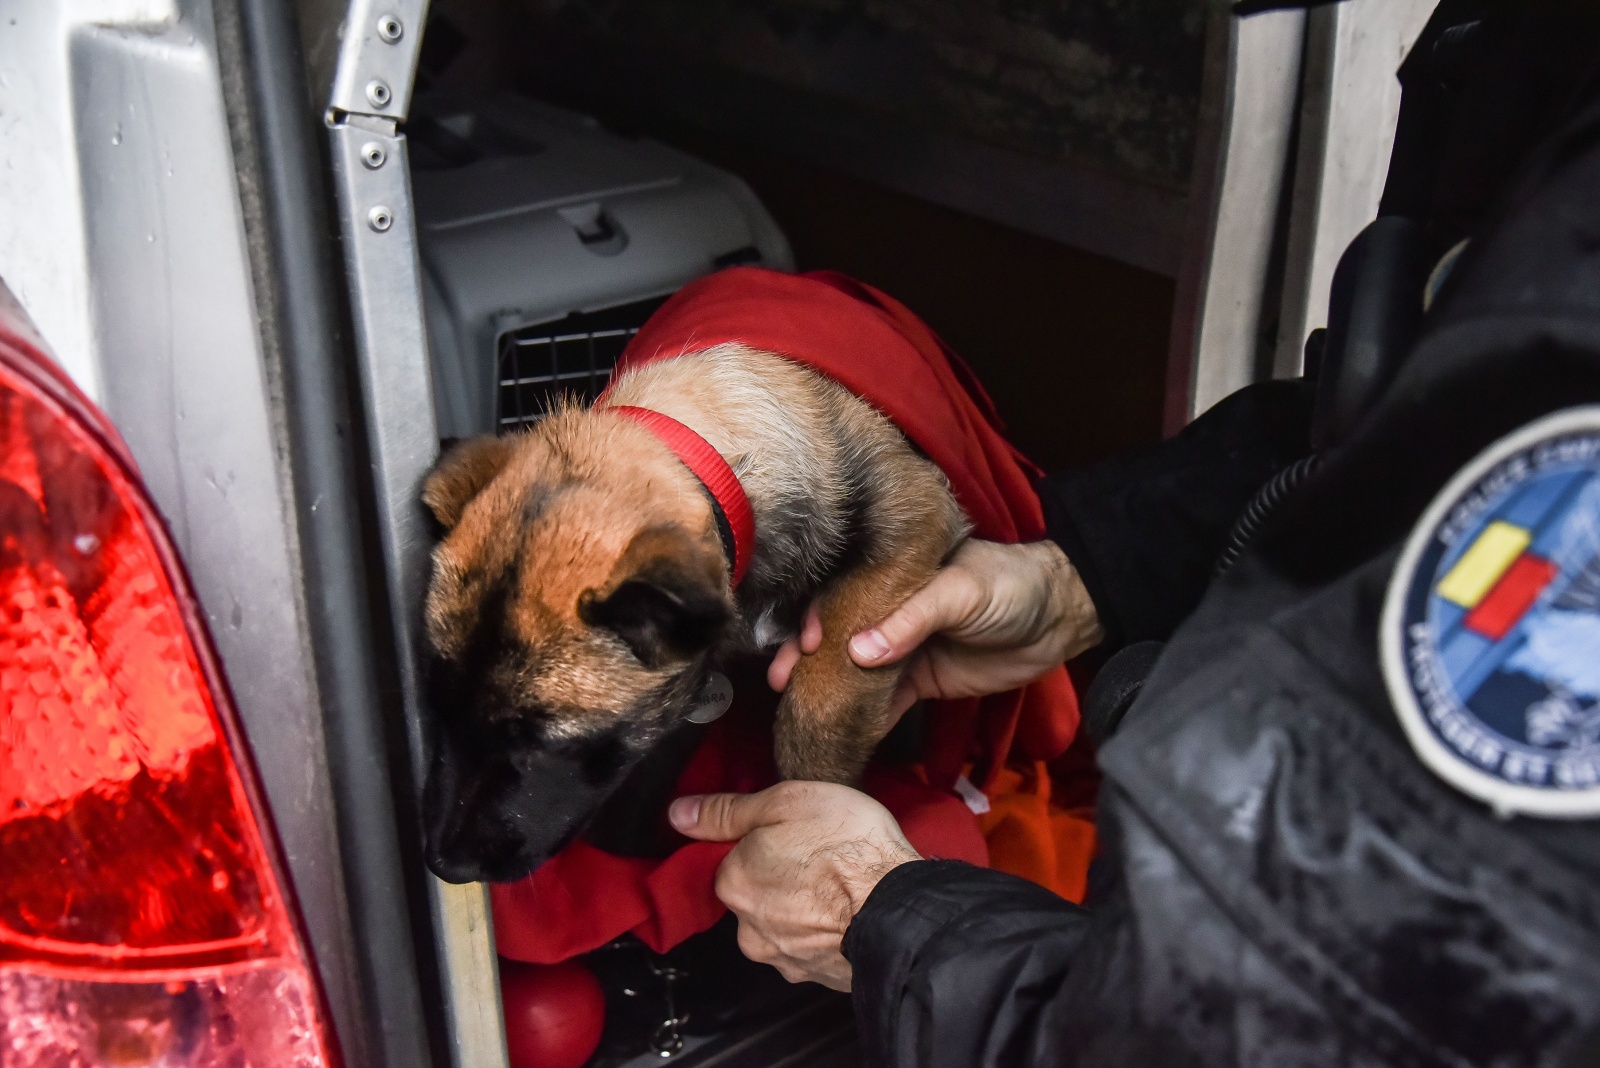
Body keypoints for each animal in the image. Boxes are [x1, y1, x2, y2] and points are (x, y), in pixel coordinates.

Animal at [422, 343, 960, 882]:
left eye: (544, 742)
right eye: (442, 709)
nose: (445, 865)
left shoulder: (915, 516)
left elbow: (825, 690)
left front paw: (818, 787)